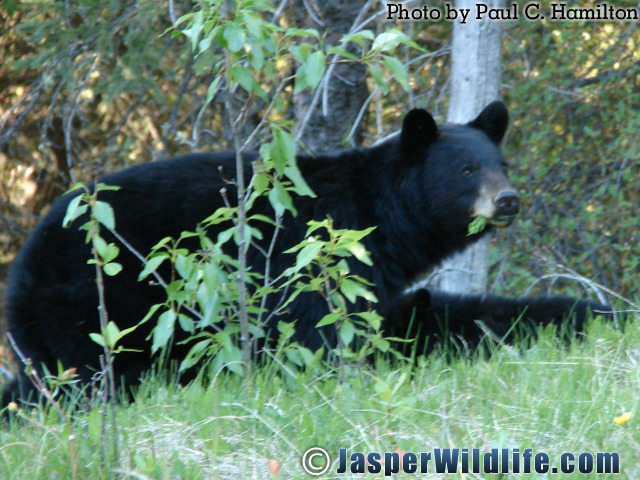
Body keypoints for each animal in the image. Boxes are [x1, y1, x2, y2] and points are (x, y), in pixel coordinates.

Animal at [5, 102, 528, 404]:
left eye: (502, 164)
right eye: (466, 169)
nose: (508, 199)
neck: (380, 220)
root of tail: (24, 261)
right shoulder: (310, 264)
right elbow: (317, 333)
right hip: (94, 301)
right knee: (94, 367)